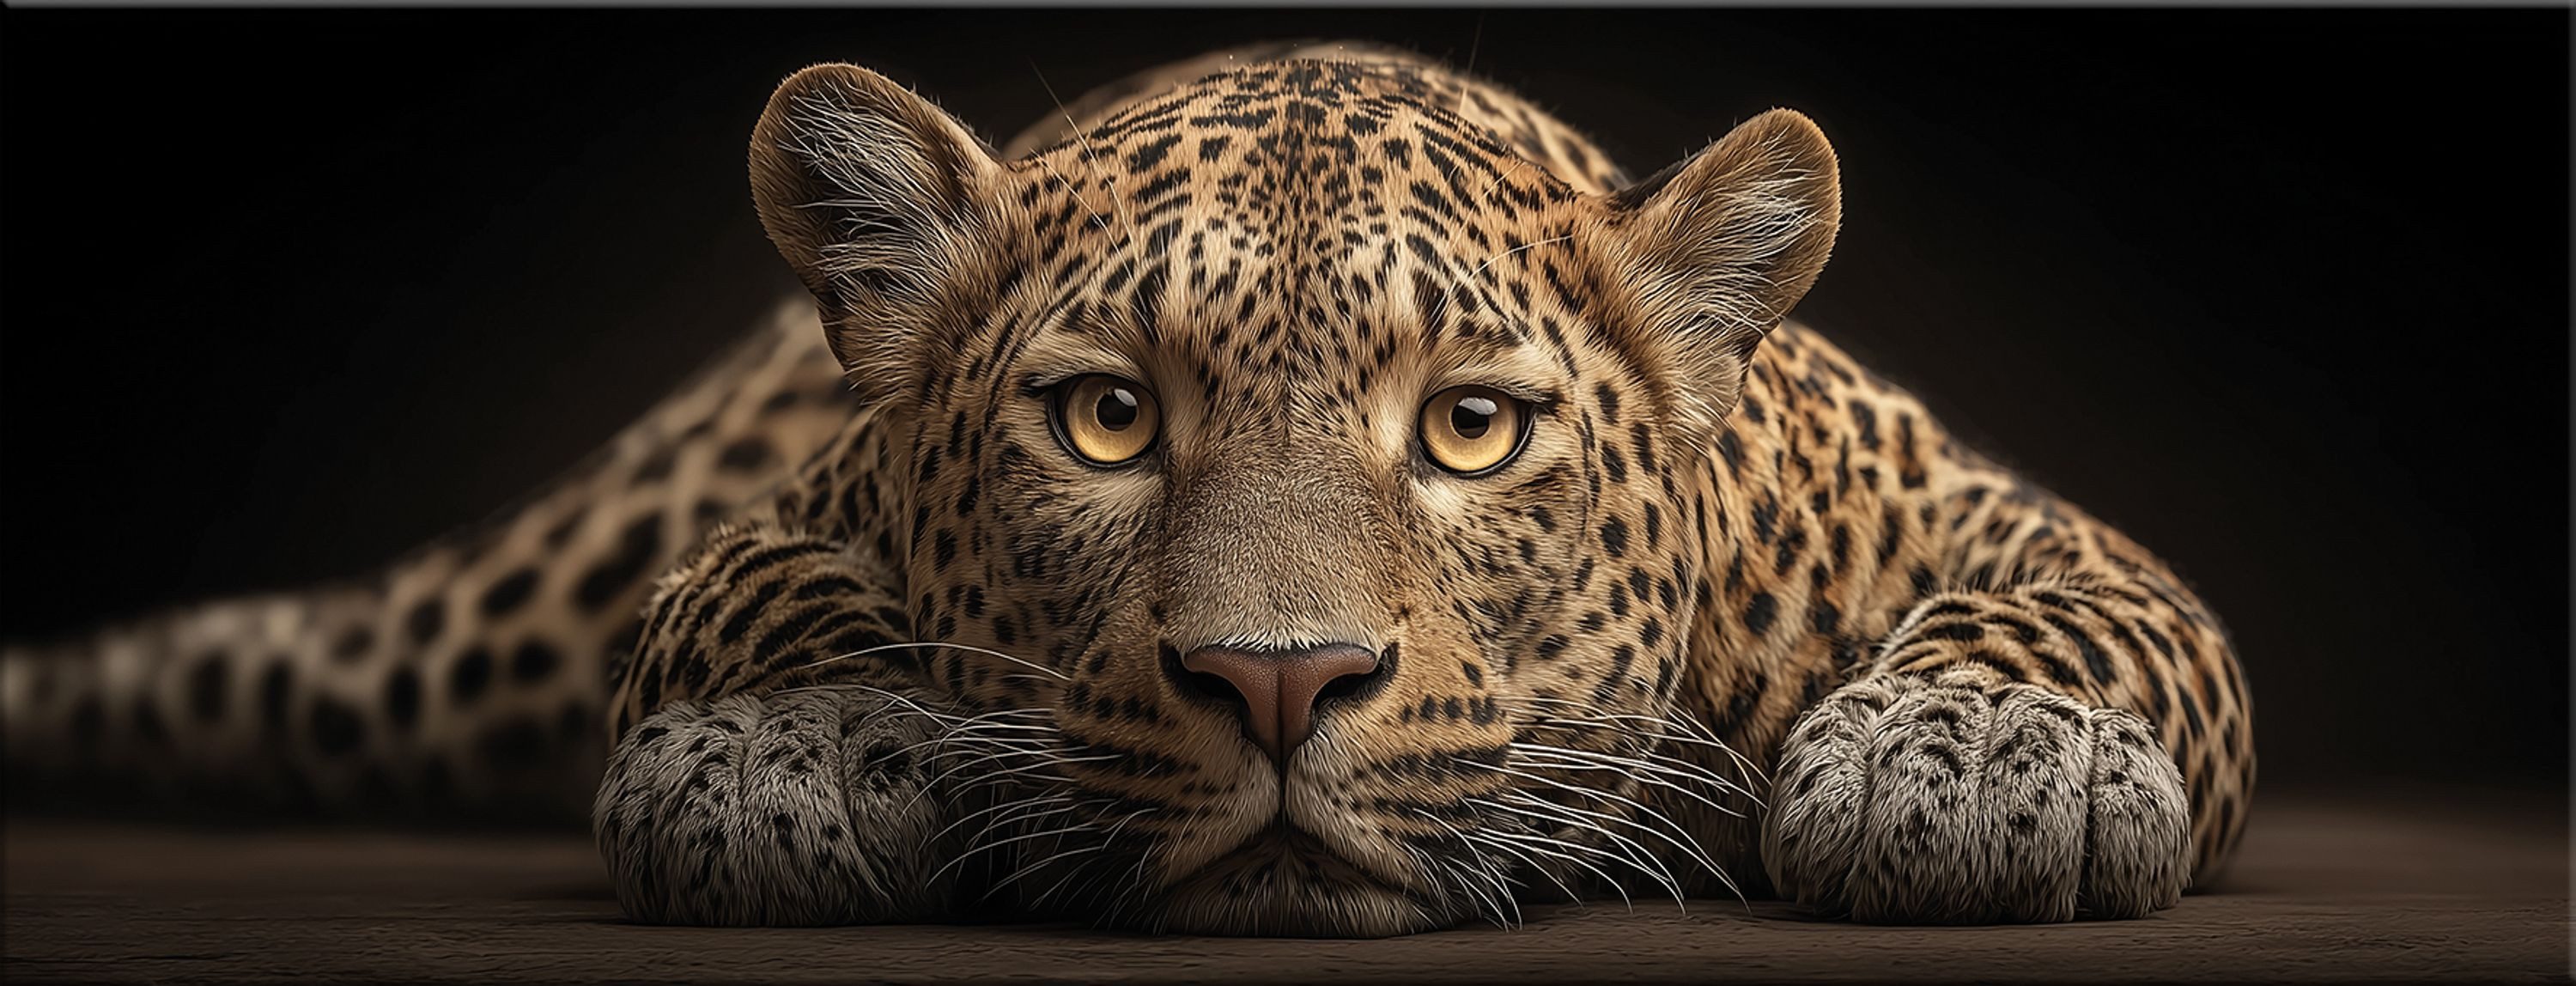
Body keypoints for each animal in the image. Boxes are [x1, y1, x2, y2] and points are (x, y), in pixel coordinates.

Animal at [0, 40, 2253, 937]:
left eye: (1470, 429)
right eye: (1102, 422)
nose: (1275, 686)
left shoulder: (1963, 507)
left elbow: (2107, 603)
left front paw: (1983, 750)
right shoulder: (772, 516)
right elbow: (743, 594)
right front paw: (786, 758)